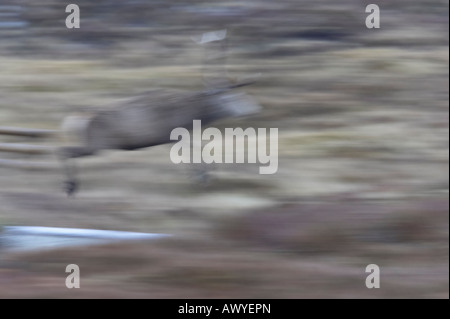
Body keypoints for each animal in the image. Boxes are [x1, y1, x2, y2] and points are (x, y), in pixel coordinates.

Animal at [57, 30, 260, 195]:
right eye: (237, 98)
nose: (257, 108)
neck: (190, 114)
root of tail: (70, 120)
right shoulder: (170, 134)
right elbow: (194, 148)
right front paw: (202, 176)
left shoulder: (171, 136)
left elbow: (196, 147)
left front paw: (202, 174)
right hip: (95, 144)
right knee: (62, 150)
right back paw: (70, 186)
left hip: (91, 144)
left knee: (64, 150)